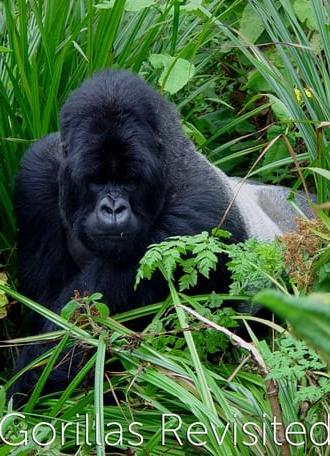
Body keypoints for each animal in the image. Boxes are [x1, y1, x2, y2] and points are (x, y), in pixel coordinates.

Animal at [12, 69, 310, 394]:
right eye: (95, 179)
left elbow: (75, 334)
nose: (113, 209)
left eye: (130, 180)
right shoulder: (38, 172)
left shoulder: (194, 220)